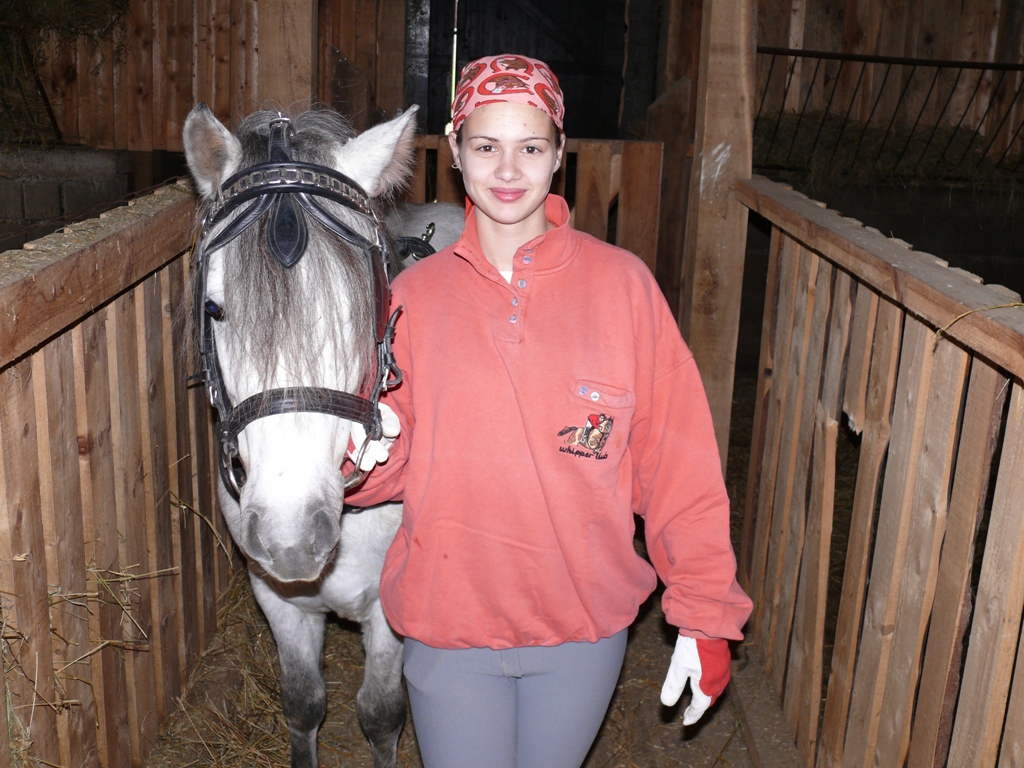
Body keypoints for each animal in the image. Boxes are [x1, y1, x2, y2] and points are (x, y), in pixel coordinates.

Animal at [182, 104, 461, 768]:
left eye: (363, 308)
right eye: (213, 310)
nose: (291, 536)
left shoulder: (389, 612)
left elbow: (381, 715)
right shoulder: (277, 599)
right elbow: (304, 704)